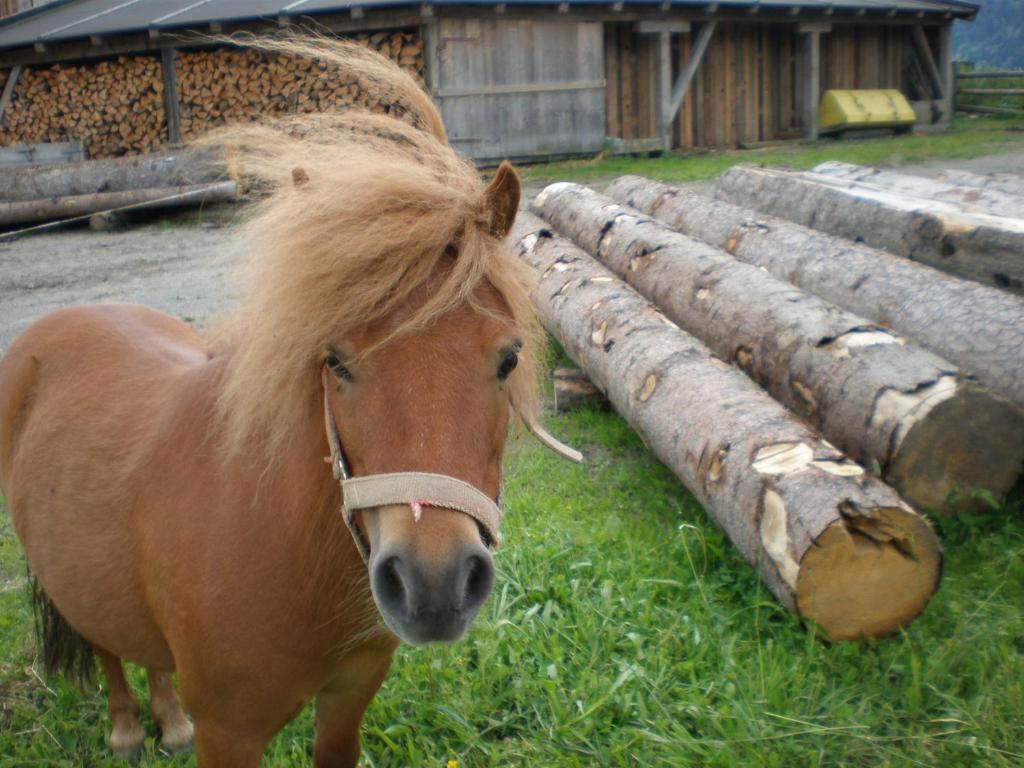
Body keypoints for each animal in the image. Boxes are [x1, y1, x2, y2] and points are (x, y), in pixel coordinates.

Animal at [0, 37, 569, 768]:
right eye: (335, 361)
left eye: (507, 359)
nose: (434, 584)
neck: (285, 540)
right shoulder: (230, 733)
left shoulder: (350, 697)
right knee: (102, 642)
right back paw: (127, 728)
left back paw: (168, 721)